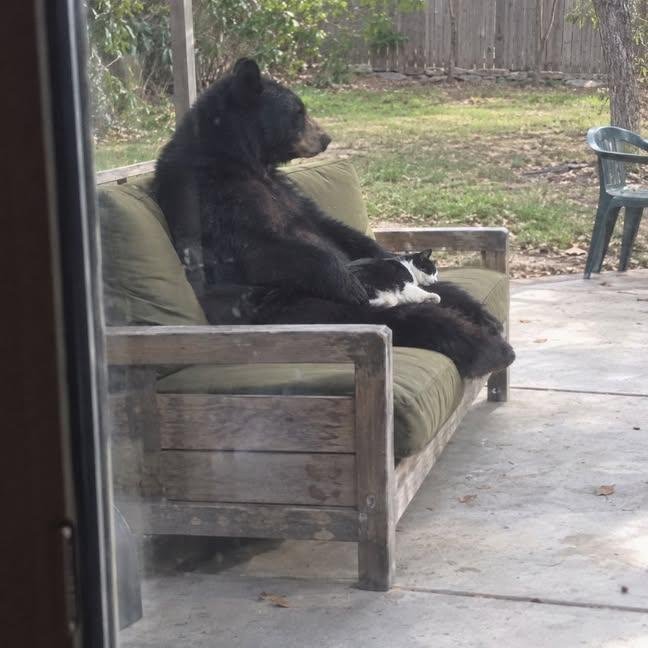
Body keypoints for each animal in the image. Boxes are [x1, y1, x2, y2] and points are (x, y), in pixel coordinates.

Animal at [154, 58, 515, 378]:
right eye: (298, 112)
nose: (326, 138)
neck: (242, 159)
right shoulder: (210, 197)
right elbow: (261, 249)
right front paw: (346, 279)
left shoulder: (289, 192)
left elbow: (331, 227)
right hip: (305, 307)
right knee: (416, 318)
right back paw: (488, 349)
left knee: (448, 292)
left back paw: (483, 316)